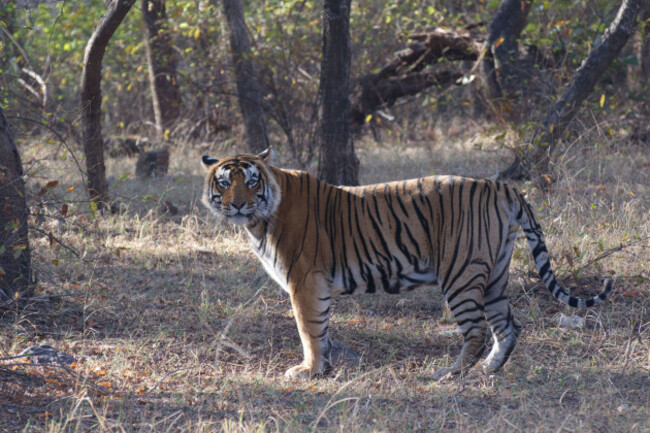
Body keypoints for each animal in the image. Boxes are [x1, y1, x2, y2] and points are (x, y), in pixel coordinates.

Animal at [201, 149, 612, 380]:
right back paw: (488, 370)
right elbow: (324, 330)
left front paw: (309, 371)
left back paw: (450, 374)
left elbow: (310, 331)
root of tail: (502, 186)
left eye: (251, 181)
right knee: (509, 326)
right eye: (223, 183)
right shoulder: (315, 286)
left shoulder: (305, 282)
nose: (237, 204)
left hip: (461, 274)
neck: (260, 220)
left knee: (478, 330)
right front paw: (326, 369)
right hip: (496, 274)